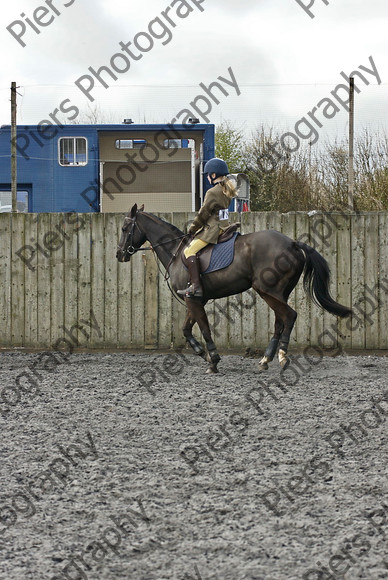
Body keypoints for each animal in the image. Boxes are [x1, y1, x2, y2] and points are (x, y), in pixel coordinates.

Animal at [115, 204, 352, 374]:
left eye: (125, 228)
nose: (119, 254)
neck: (176, 250)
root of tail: (293, 243)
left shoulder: (194, 300)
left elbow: (204, 328)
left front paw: (213, 360)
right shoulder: (195, 300)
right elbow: (186, 329)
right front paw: (203, 354)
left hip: (267, 291)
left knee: (289, 316)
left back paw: (282, 357)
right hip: (279, 293)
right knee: (280, 321)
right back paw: (265, 360)